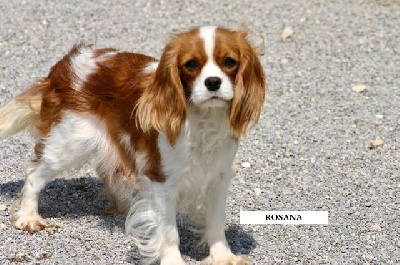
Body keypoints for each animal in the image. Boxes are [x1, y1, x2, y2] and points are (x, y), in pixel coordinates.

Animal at [0, 25, 266, 264]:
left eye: (229, 62)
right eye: (191, 64)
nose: (212, 82)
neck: (201, 118)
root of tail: (67, 61)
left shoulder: (219, 176)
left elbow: (216, 221)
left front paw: (223, 257)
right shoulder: (162, 180)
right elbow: (169, 232)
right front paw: (173, 260)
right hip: (69, 143)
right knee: (34, 173)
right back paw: (28, 216)